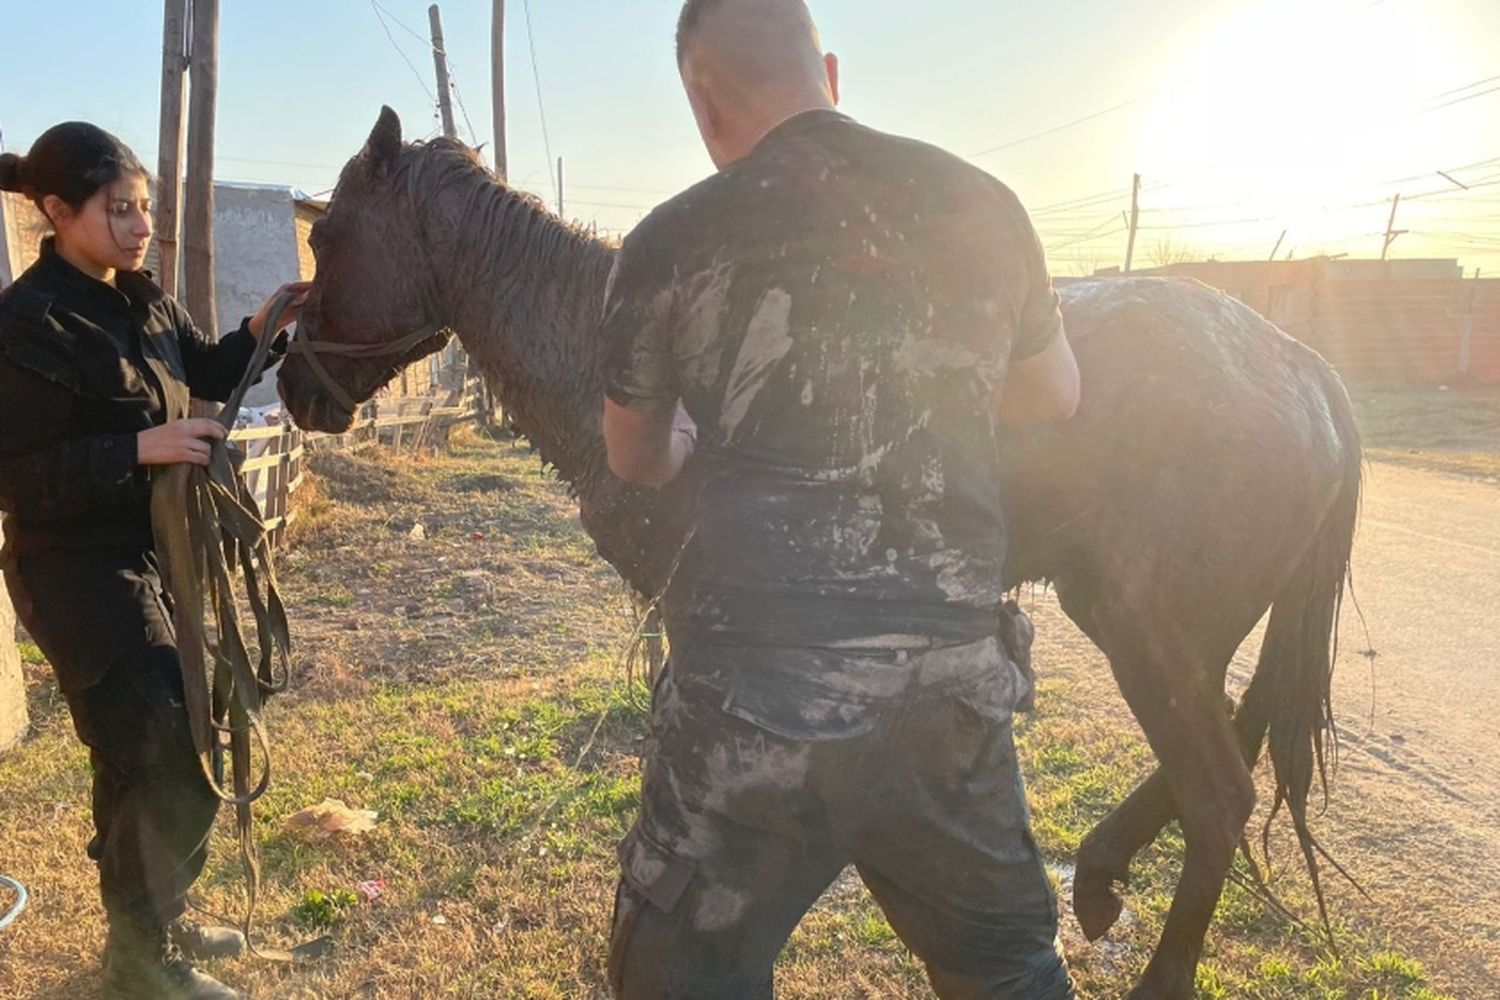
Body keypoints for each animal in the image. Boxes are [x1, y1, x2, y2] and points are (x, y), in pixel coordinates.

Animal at [276, 105, 1368, 995]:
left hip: (1145, 629)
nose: (288, 384)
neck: (602, 335)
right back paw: (1098, 878)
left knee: (1220, 794)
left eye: (327, 234)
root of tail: (1305, 367)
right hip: (1169, 634)